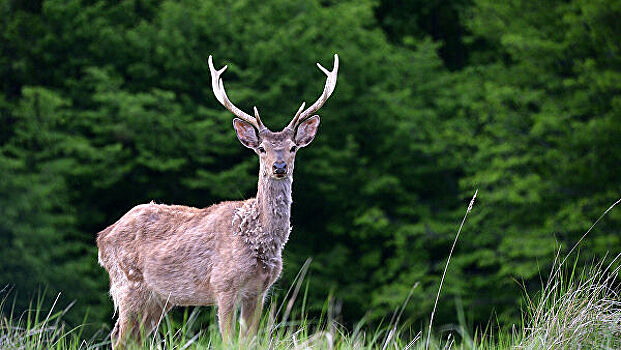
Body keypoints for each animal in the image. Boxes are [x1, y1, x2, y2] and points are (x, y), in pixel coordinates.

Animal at [97, 54, 340, 348]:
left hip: (159, 297)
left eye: (293, 147)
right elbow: (227, 339)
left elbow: (249, 340)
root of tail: (102, 237)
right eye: (262, 148)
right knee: (119, 336)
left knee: (134, 337)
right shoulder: (223, 284)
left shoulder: (259, 291)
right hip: (127, 282)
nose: (280, 166)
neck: (258, 238)